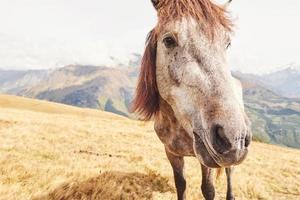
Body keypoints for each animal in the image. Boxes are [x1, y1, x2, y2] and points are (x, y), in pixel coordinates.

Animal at [132, 0, 252, 199]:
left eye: (227, 43)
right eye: (169, 40)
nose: (234, 137)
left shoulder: (205, 158)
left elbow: (208, 189)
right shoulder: (171, 152)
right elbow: (180, 184)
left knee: (229, 172)